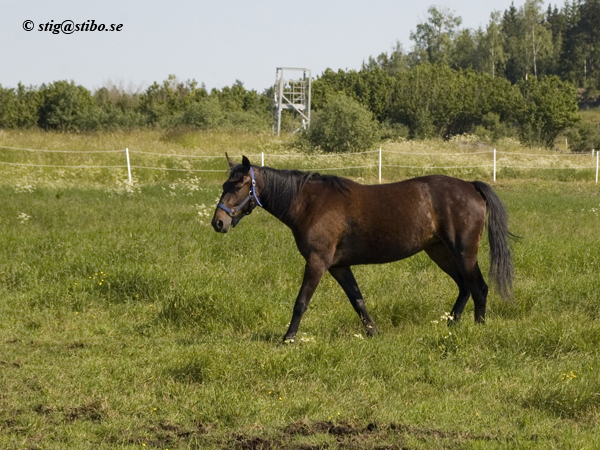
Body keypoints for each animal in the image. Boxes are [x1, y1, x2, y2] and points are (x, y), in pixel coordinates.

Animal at [210, 153, 510, 342]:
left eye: (238, 186)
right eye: (225, 184)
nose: (218, 222)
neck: (309, 203)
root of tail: (470, 186)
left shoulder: (317, 262)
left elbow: (301, 303)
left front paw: (288, 338)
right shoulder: (339, 266)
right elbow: (358, 300)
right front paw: (373, 333)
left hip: (464, 251)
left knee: (479, 287)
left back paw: (478, 328)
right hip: (439, 251)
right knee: (464, 286)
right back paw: (452, 325)